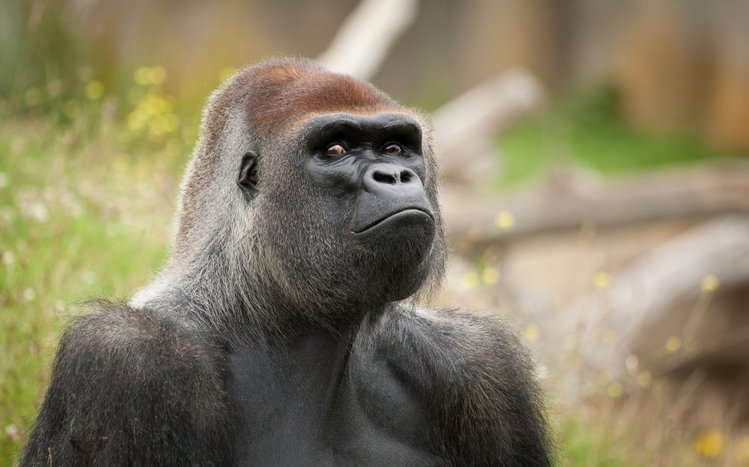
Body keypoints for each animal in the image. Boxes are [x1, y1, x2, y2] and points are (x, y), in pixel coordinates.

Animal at [22, 58, 551, 466]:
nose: (396, 174)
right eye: (335, 148)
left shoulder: (477, 362)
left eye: (396, 147)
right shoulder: (127, 360)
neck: (257, 309)